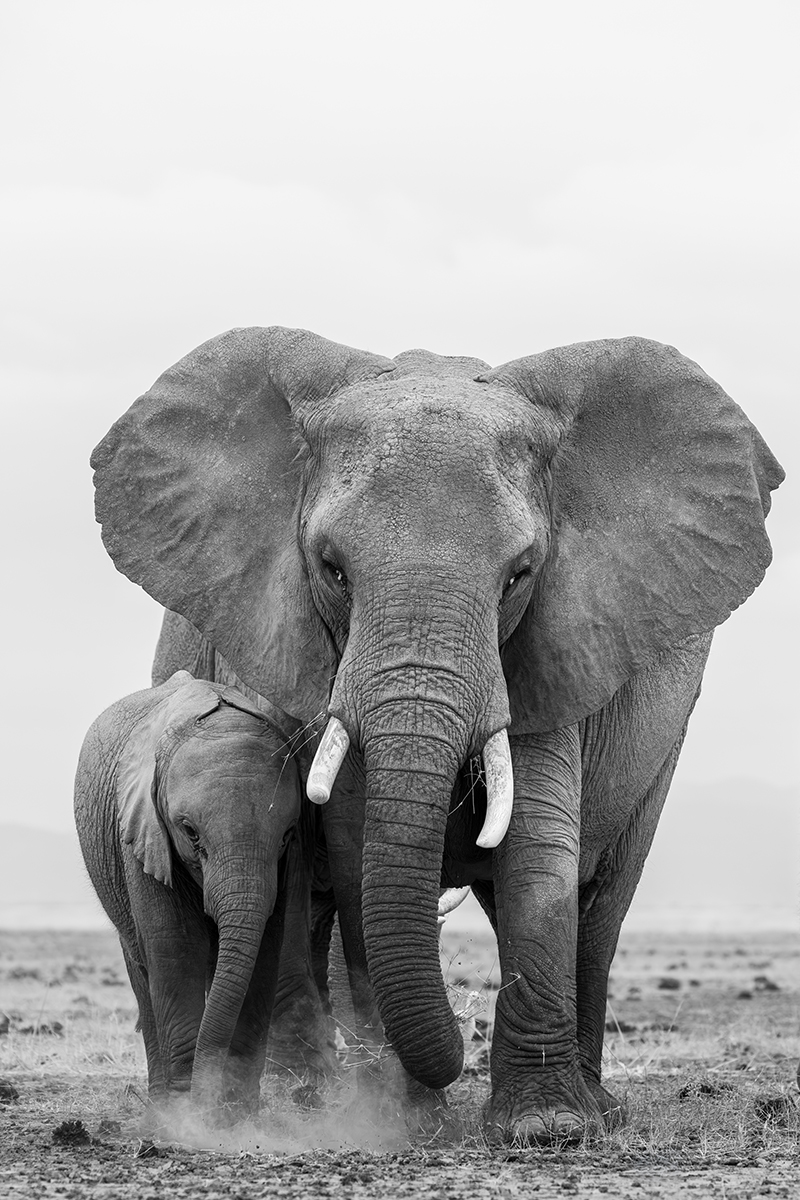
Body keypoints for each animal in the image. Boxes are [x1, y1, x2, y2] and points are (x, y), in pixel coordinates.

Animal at [74, 668, 307, 1117]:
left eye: (288, 835)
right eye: (190, 832)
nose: (206, 1097)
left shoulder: (286, 868)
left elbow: (265, 950)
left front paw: (236, 1115)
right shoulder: (142, 833)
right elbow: (176, 948)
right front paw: (187, 1116)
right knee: (143, 971)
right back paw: (160, 1108)